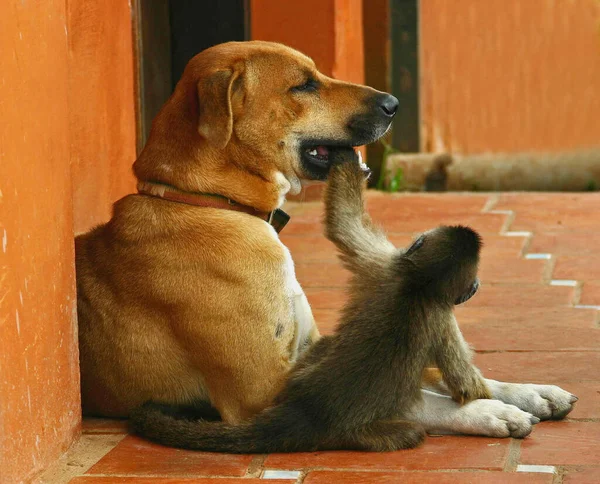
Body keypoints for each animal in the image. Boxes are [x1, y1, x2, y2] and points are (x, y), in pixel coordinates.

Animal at [129, 147, 490, 454]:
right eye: (472, 282)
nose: (477, 285)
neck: (418, 283)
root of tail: (310, 411)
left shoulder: (386, 264)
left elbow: (345, 223)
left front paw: (347, 160)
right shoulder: (436, 309)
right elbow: (467, 387)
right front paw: (478, 395)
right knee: (408, 433)